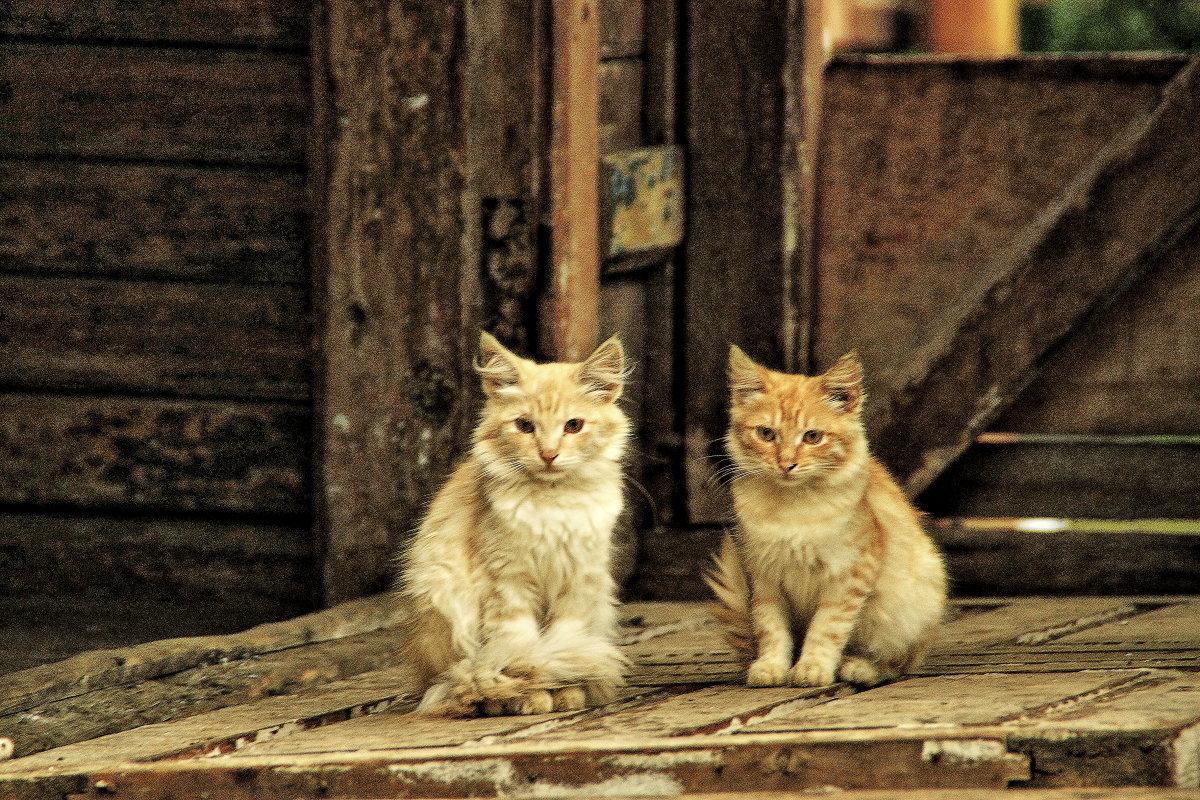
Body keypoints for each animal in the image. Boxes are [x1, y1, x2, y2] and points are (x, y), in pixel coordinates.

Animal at [398, 331, 633, 714]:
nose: (549, 454)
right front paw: (531, 695)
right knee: (458, 680)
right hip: (446, 595)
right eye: (525, 426)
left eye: (574, 426)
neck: (554, 504)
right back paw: (492, 698)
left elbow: (564, 640)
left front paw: (566, 692)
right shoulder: (507, 581)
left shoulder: (580, 580)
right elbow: (521, 647)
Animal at [700, 347, 945, 686]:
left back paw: (860, 667)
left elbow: (826, 628)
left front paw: (813, 666)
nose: (786, 463)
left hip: (913, 602)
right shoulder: (764, 575)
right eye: (766, 434)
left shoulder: (850, 573)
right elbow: (771, 627)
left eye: (812, 436)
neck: (792, 509)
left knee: (899, 664)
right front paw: (771, 666)